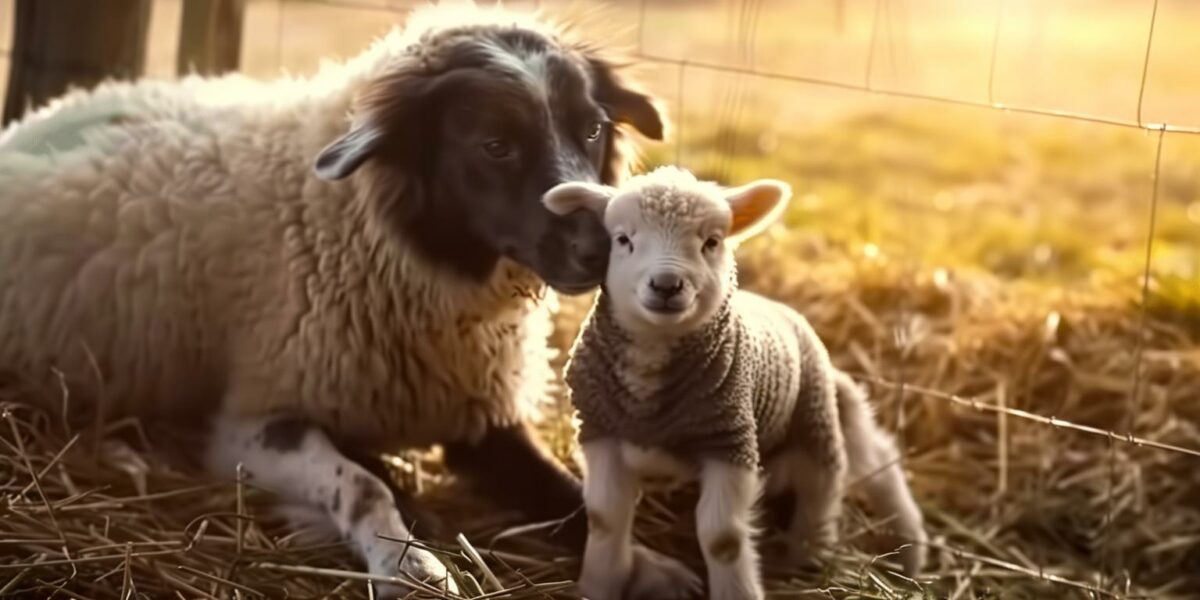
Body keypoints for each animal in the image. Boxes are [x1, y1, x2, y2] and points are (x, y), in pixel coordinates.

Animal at [0, 3, 700, 595]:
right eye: (495, 145)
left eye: (593, 130)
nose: (605, 247)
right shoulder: (254, 420)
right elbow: (362, 487)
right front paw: (410, 565)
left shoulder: (481, 418)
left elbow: (573, 496)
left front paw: (648, 566)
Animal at [544, 165, 926, 600]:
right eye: (623, 240)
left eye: (711, 242)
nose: (666, 285)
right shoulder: (600, 431)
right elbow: (604, 518)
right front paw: (599, 583)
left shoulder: (731, 440)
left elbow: (722, 538)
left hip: (815, 416)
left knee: (846, 474)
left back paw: (865, 550)